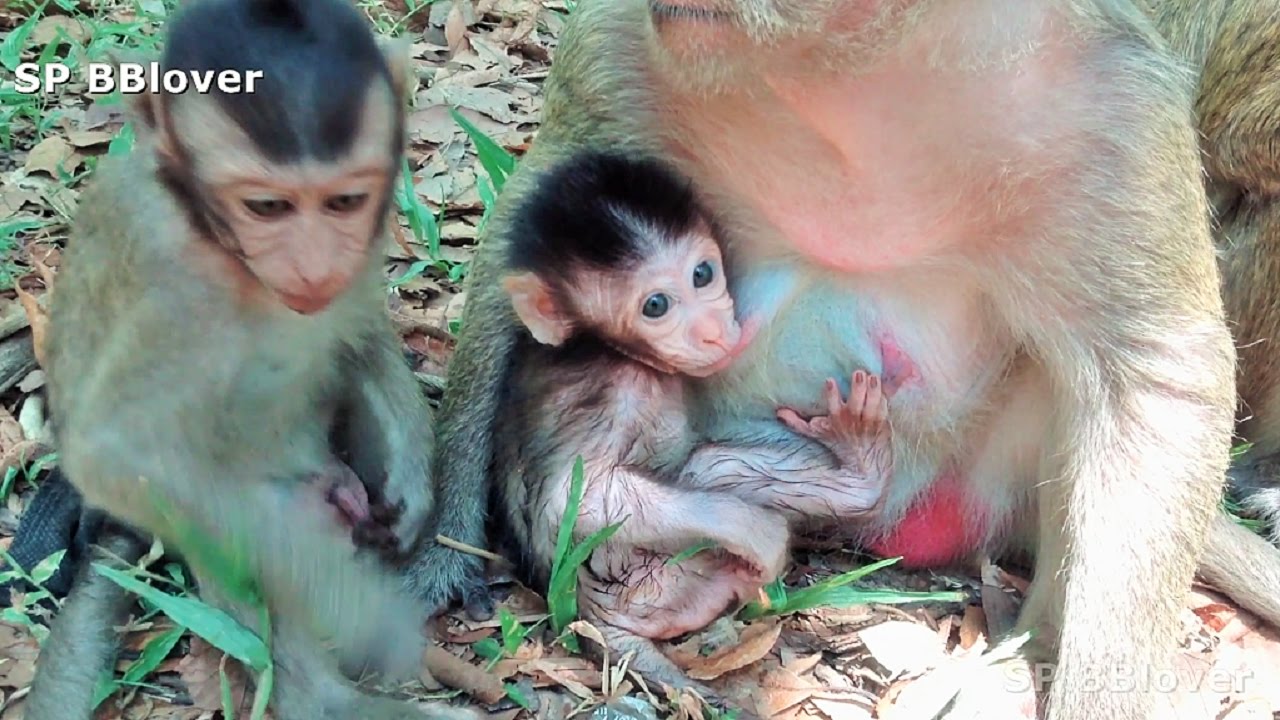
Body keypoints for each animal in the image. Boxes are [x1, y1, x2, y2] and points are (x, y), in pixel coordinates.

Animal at [20, 0, 482, 718]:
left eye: (345, 201)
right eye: (267, 207)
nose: (314, 264)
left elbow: (357, 335)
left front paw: (413, 480)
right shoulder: (173, 282)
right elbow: (114, 452)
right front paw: (353, 606)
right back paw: (322, 698)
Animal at [491, 151, 894, 699]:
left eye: (702, 274)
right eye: (655, 306)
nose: (711, 331)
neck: (607, 348)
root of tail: (589, 611)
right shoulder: (609, 391)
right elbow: (579, 495)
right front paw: (759, 532)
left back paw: (860, 472)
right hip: (654, 585)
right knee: (703, 474)